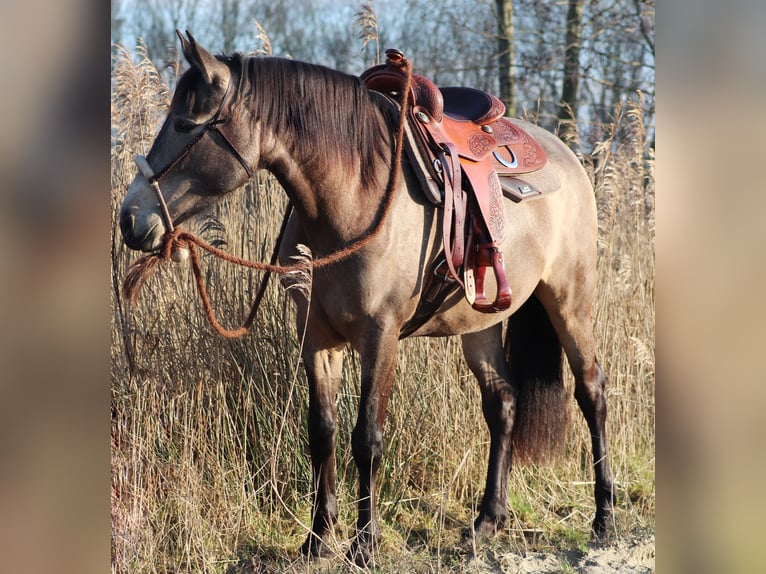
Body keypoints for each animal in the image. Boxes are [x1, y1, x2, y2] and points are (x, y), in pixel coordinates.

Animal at [121, 31, 624, 568]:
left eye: (184, 124)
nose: (130, 218)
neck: (350, 198)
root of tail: (567, 156)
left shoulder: (380, 336)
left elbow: (367, 439)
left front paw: (364, 543)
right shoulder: (316, 337)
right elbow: (322, 431)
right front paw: (319, 537)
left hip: (569, 301)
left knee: (592, 391)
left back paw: (604, 517)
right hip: (482, 323)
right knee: (503, 404)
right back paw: (486, 522)